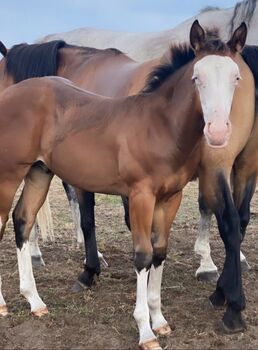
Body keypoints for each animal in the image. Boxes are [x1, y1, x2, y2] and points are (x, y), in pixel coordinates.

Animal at [0, 21, 254, 348]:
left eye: (236, 78)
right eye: (197, 78)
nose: (219, 132)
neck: (158, 127)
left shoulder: (170, 198)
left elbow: (159, 251)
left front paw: (160, 320)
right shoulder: (140, 196)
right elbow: (142, 254)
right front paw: (145, 330)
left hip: (38, 173)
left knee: (23, 220)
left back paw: (35, 301)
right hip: (8, 174)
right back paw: (4, 304)